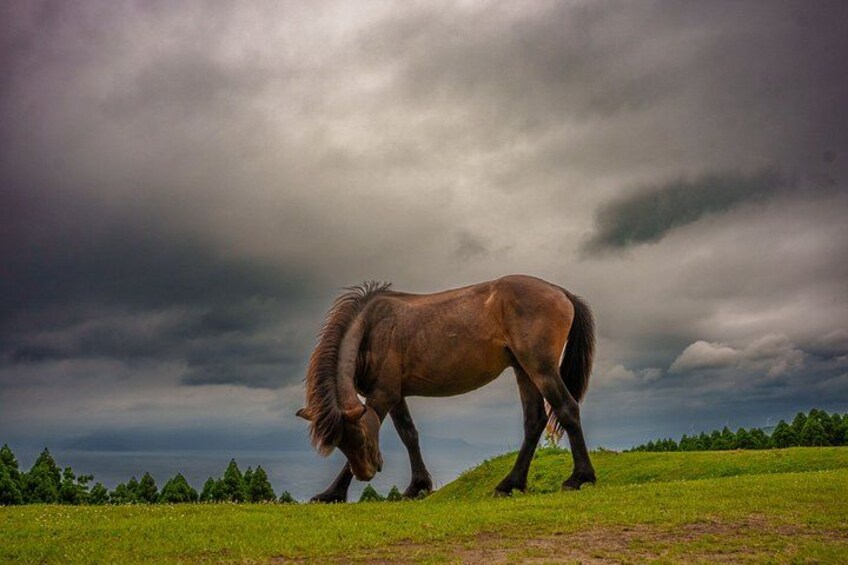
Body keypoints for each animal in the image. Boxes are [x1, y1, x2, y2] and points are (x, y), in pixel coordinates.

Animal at [296, 274, 596, 502]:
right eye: (338, 443)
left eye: (358, 439)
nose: (367, 474)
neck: (371, 328)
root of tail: (560, 292)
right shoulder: (395, 395)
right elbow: (409, 434)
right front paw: (417, 486)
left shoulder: (382, 395)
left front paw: (332, 493)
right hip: (524, 370)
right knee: (534, 422)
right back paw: (510, 484)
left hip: (541, 369)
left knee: (567, 409)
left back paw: (580, 478)